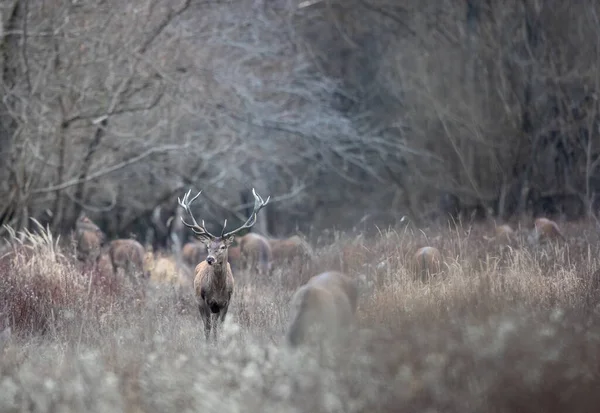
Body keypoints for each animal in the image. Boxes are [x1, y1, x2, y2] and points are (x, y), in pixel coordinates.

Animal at [178, 187, 270, 342]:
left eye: (222, 246)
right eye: (208, 246)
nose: (210, 259)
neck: (218, 289)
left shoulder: (225, 302)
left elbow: (220, 327)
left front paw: (219, 343)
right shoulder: (205, 300)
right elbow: (207, 327)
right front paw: (208, 344)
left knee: (215, 325)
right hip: (199, 301)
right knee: (206, 324)